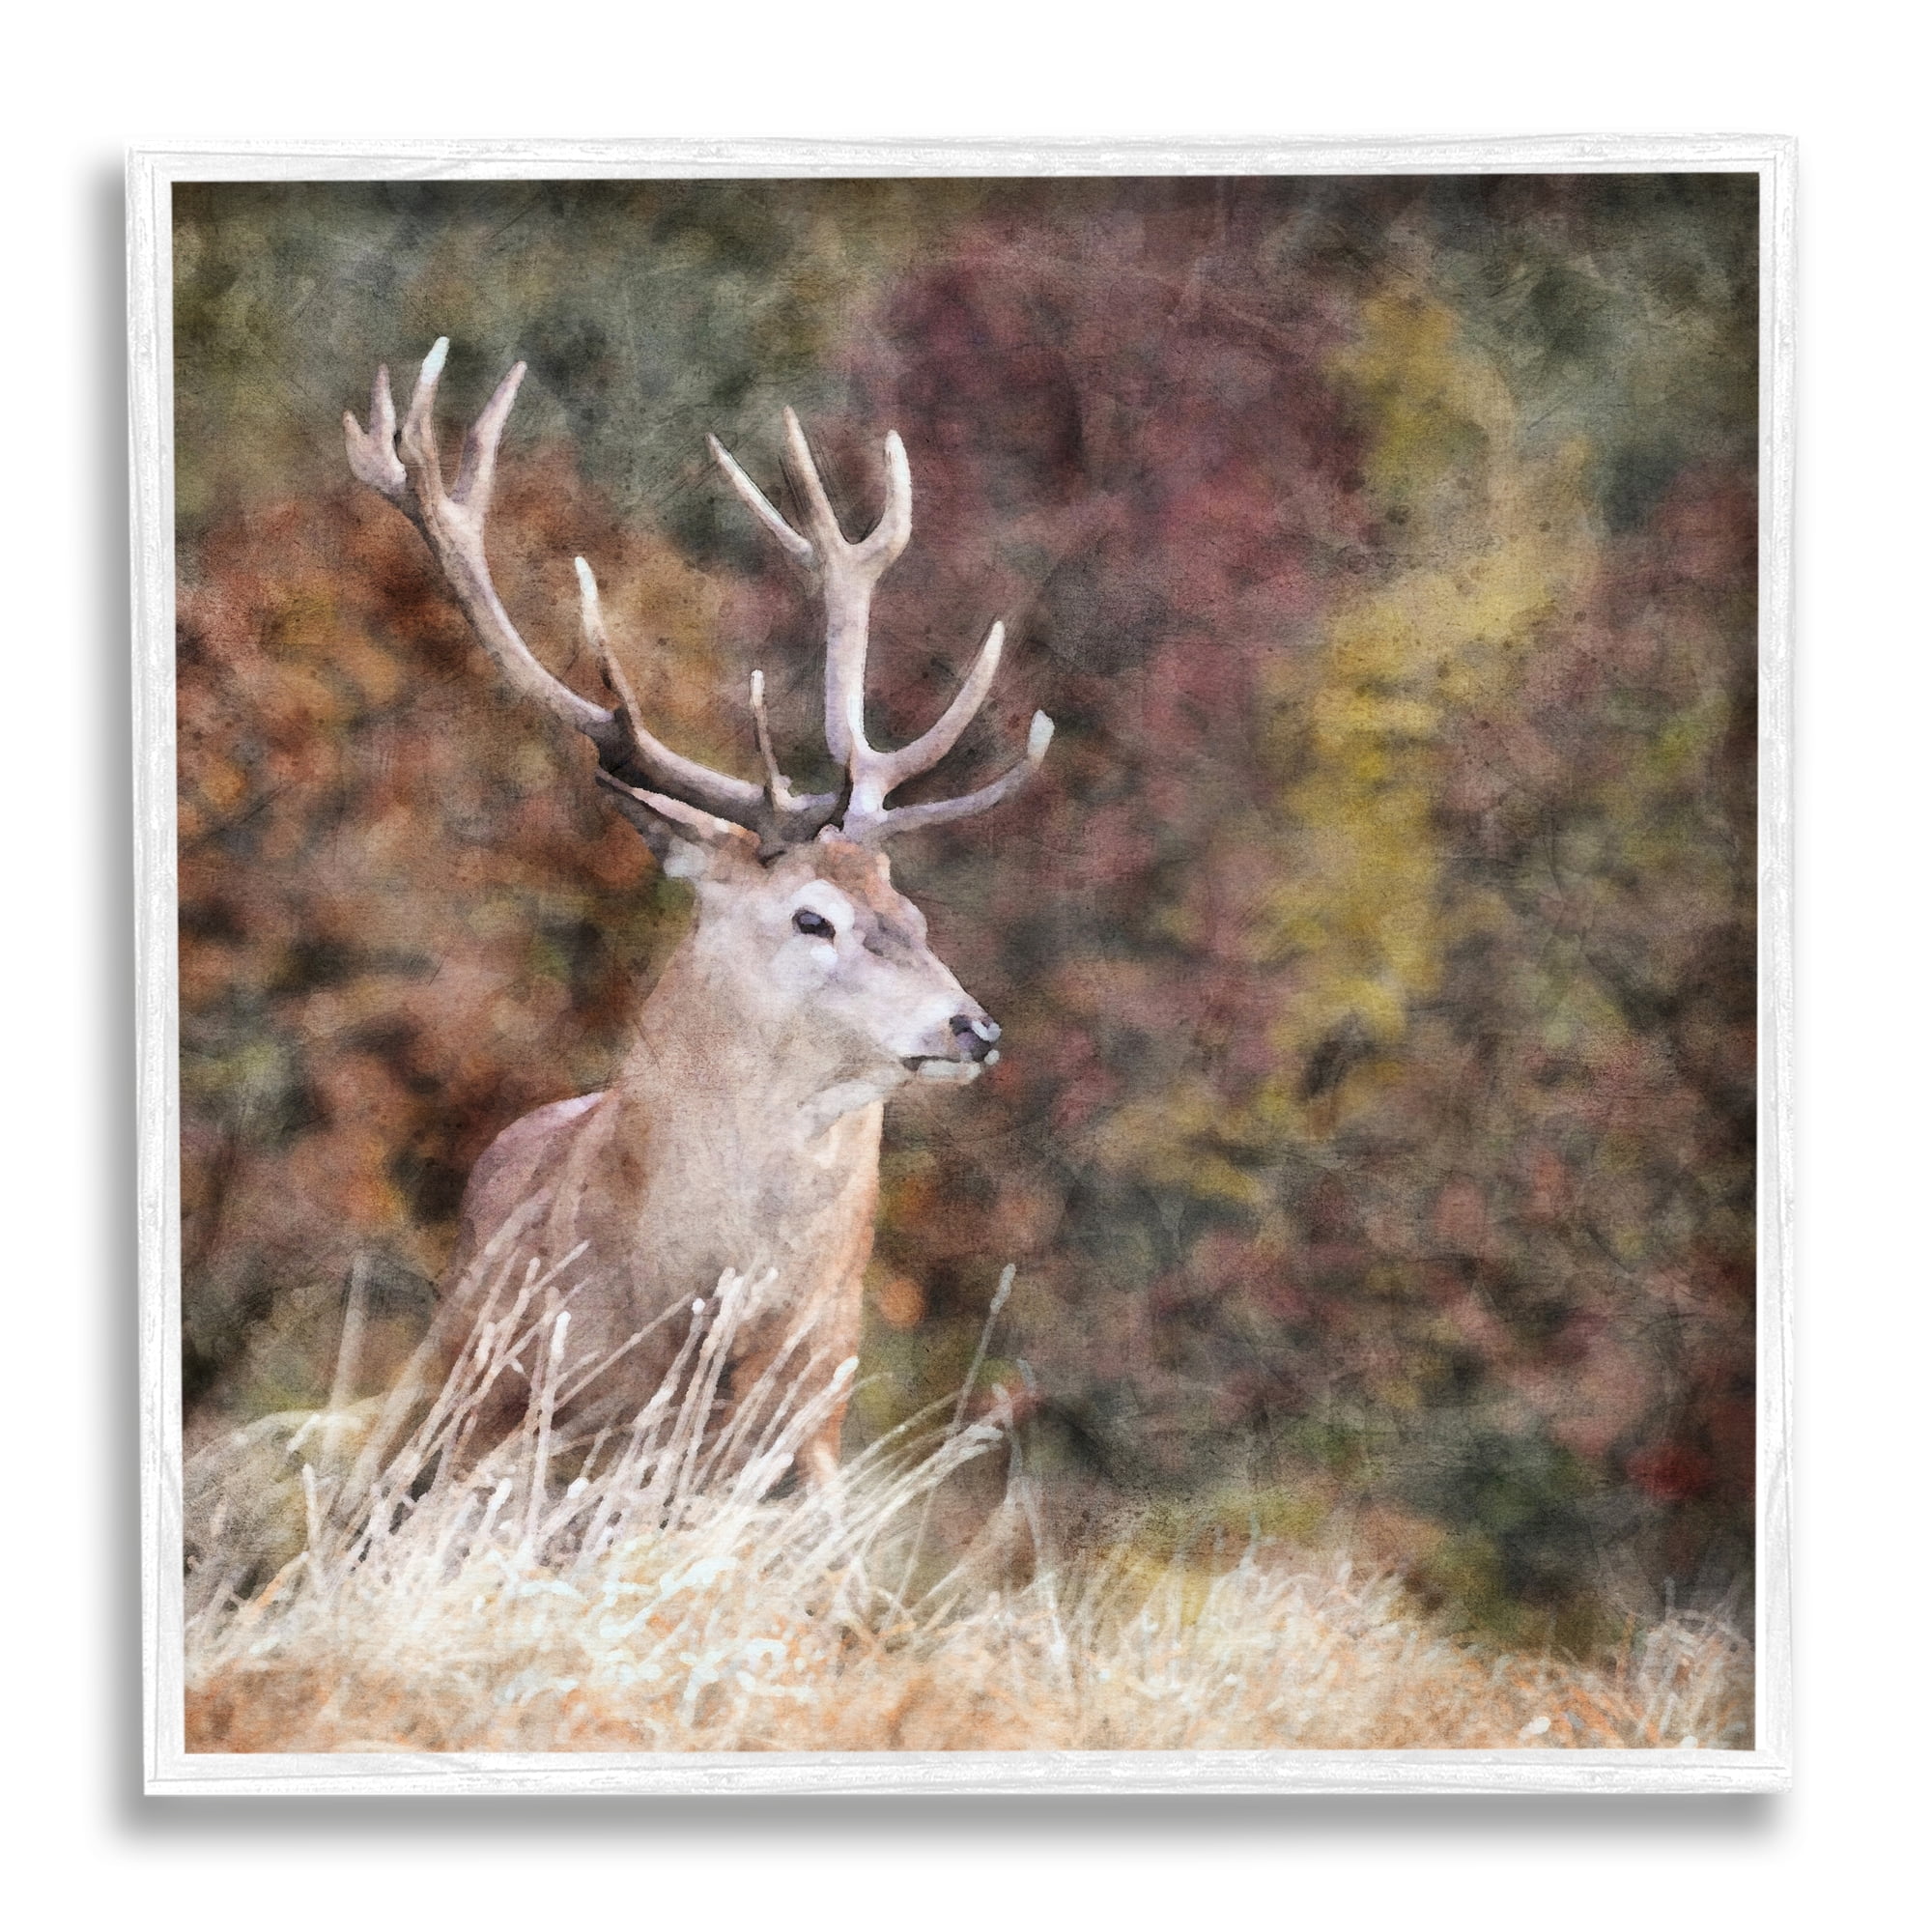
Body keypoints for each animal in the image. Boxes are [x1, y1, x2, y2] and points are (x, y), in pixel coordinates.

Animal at [343, 339, 1052, 1491]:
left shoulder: (808, 1438)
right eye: (811, 919)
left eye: (909, 908)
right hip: (439, 1396)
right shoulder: (528, 1421)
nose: (972, 1026)